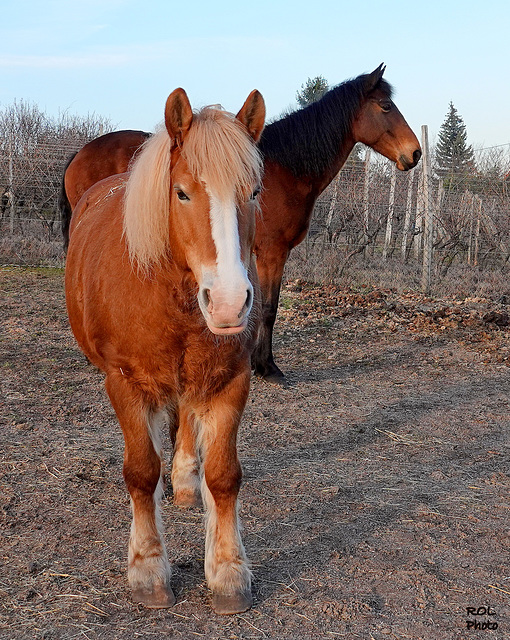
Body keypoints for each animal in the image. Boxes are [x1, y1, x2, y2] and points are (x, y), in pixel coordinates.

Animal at [59, 65, 420, 380]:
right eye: (386, 106)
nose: (414, 153)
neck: (286, 170)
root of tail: (79, 153)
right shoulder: (273, 253)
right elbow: (269, 308)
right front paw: (267, 367)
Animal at [65, 87, 264, 612]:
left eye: (255, 193)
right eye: (182, 192)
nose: (230, 302)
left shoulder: (231, 381)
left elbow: (224, 475)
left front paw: (228, 573)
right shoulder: (125, 384)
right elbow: (140, 471)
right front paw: (148, 569)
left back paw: (185, 479)